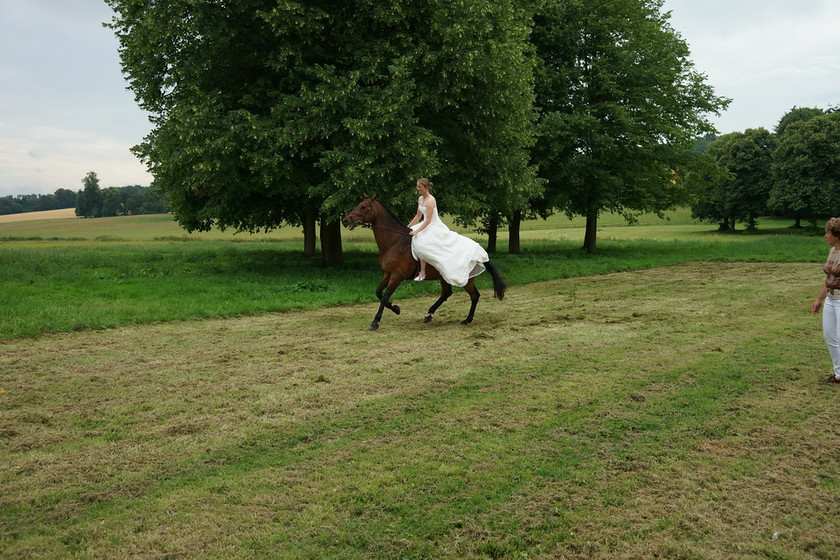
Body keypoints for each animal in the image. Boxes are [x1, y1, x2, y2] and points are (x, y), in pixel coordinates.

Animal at [342, 194, 506, 330]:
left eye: (363, 207)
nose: (345, 220)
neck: (394, 242)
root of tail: (480, 252)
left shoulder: (397, 276)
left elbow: (385, 296)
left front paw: (375, 322)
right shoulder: (388, 274)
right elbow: (378, 293)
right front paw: (396, 309)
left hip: (466, 280)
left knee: (474, 296)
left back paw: (467, 320)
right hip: (444, 276)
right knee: (446, 293)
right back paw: (429, 315)